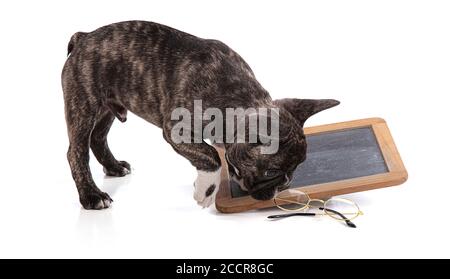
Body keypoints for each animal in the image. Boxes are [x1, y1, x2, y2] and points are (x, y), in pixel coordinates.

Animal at [62, 20, 338, 210]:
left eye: (297, 167)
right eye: (271, 173)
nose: (285, 183)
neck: (237, 95)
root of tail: (83, 38)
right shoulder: (176, 130)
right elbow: (211, 155)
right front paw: (206, 191)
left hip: (107, 107)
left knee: (98, 138)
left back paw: (113, 166)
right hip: (83, 106)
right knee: (76, 151)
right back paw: (92, 196)